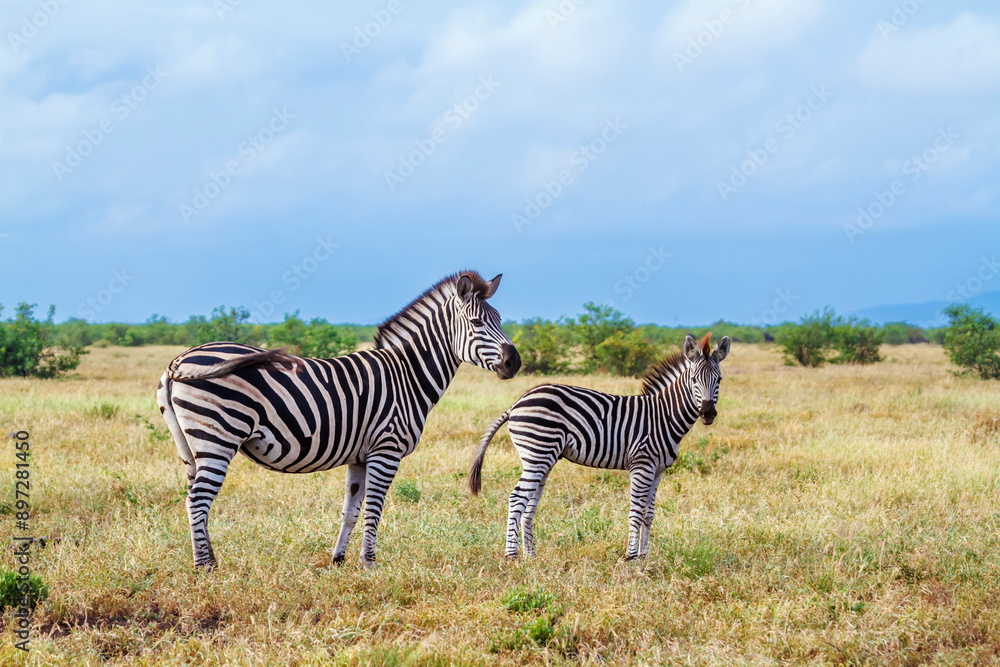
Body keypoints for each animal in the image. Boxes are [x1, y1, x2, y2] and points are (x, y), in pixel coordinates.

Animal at [156, 271, 521, 569]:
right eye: (477, 324)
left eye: (500, 319)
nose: (514, 363)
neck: (407, 375)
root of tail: (179, 359)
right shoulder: (386, 450)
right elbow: (374, 509)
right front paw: (369, 563)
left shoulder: (360, 456)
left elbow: (350, 511)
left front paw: (339, 559)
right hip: (217, 436)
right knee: (197, 501)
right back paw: (205, 568)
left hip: (190, 445)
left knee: (194, 498)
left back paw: (209, 559)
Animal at [469, 332, 729, 561]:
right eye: (694, 380)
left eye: (719, 380)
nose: (707, 413)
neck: (663, 416)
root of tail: (518, 402)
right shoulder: (642, 465)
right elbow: (636, 512)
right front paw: (631, 557)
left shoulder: (658, 470)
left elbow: (649, 514)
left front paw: (645, 557)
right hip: (537, 454)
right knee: (516, 499)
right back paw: (511, 557)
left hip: (541, 459)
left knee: (529, 504)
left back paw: (531, 557)